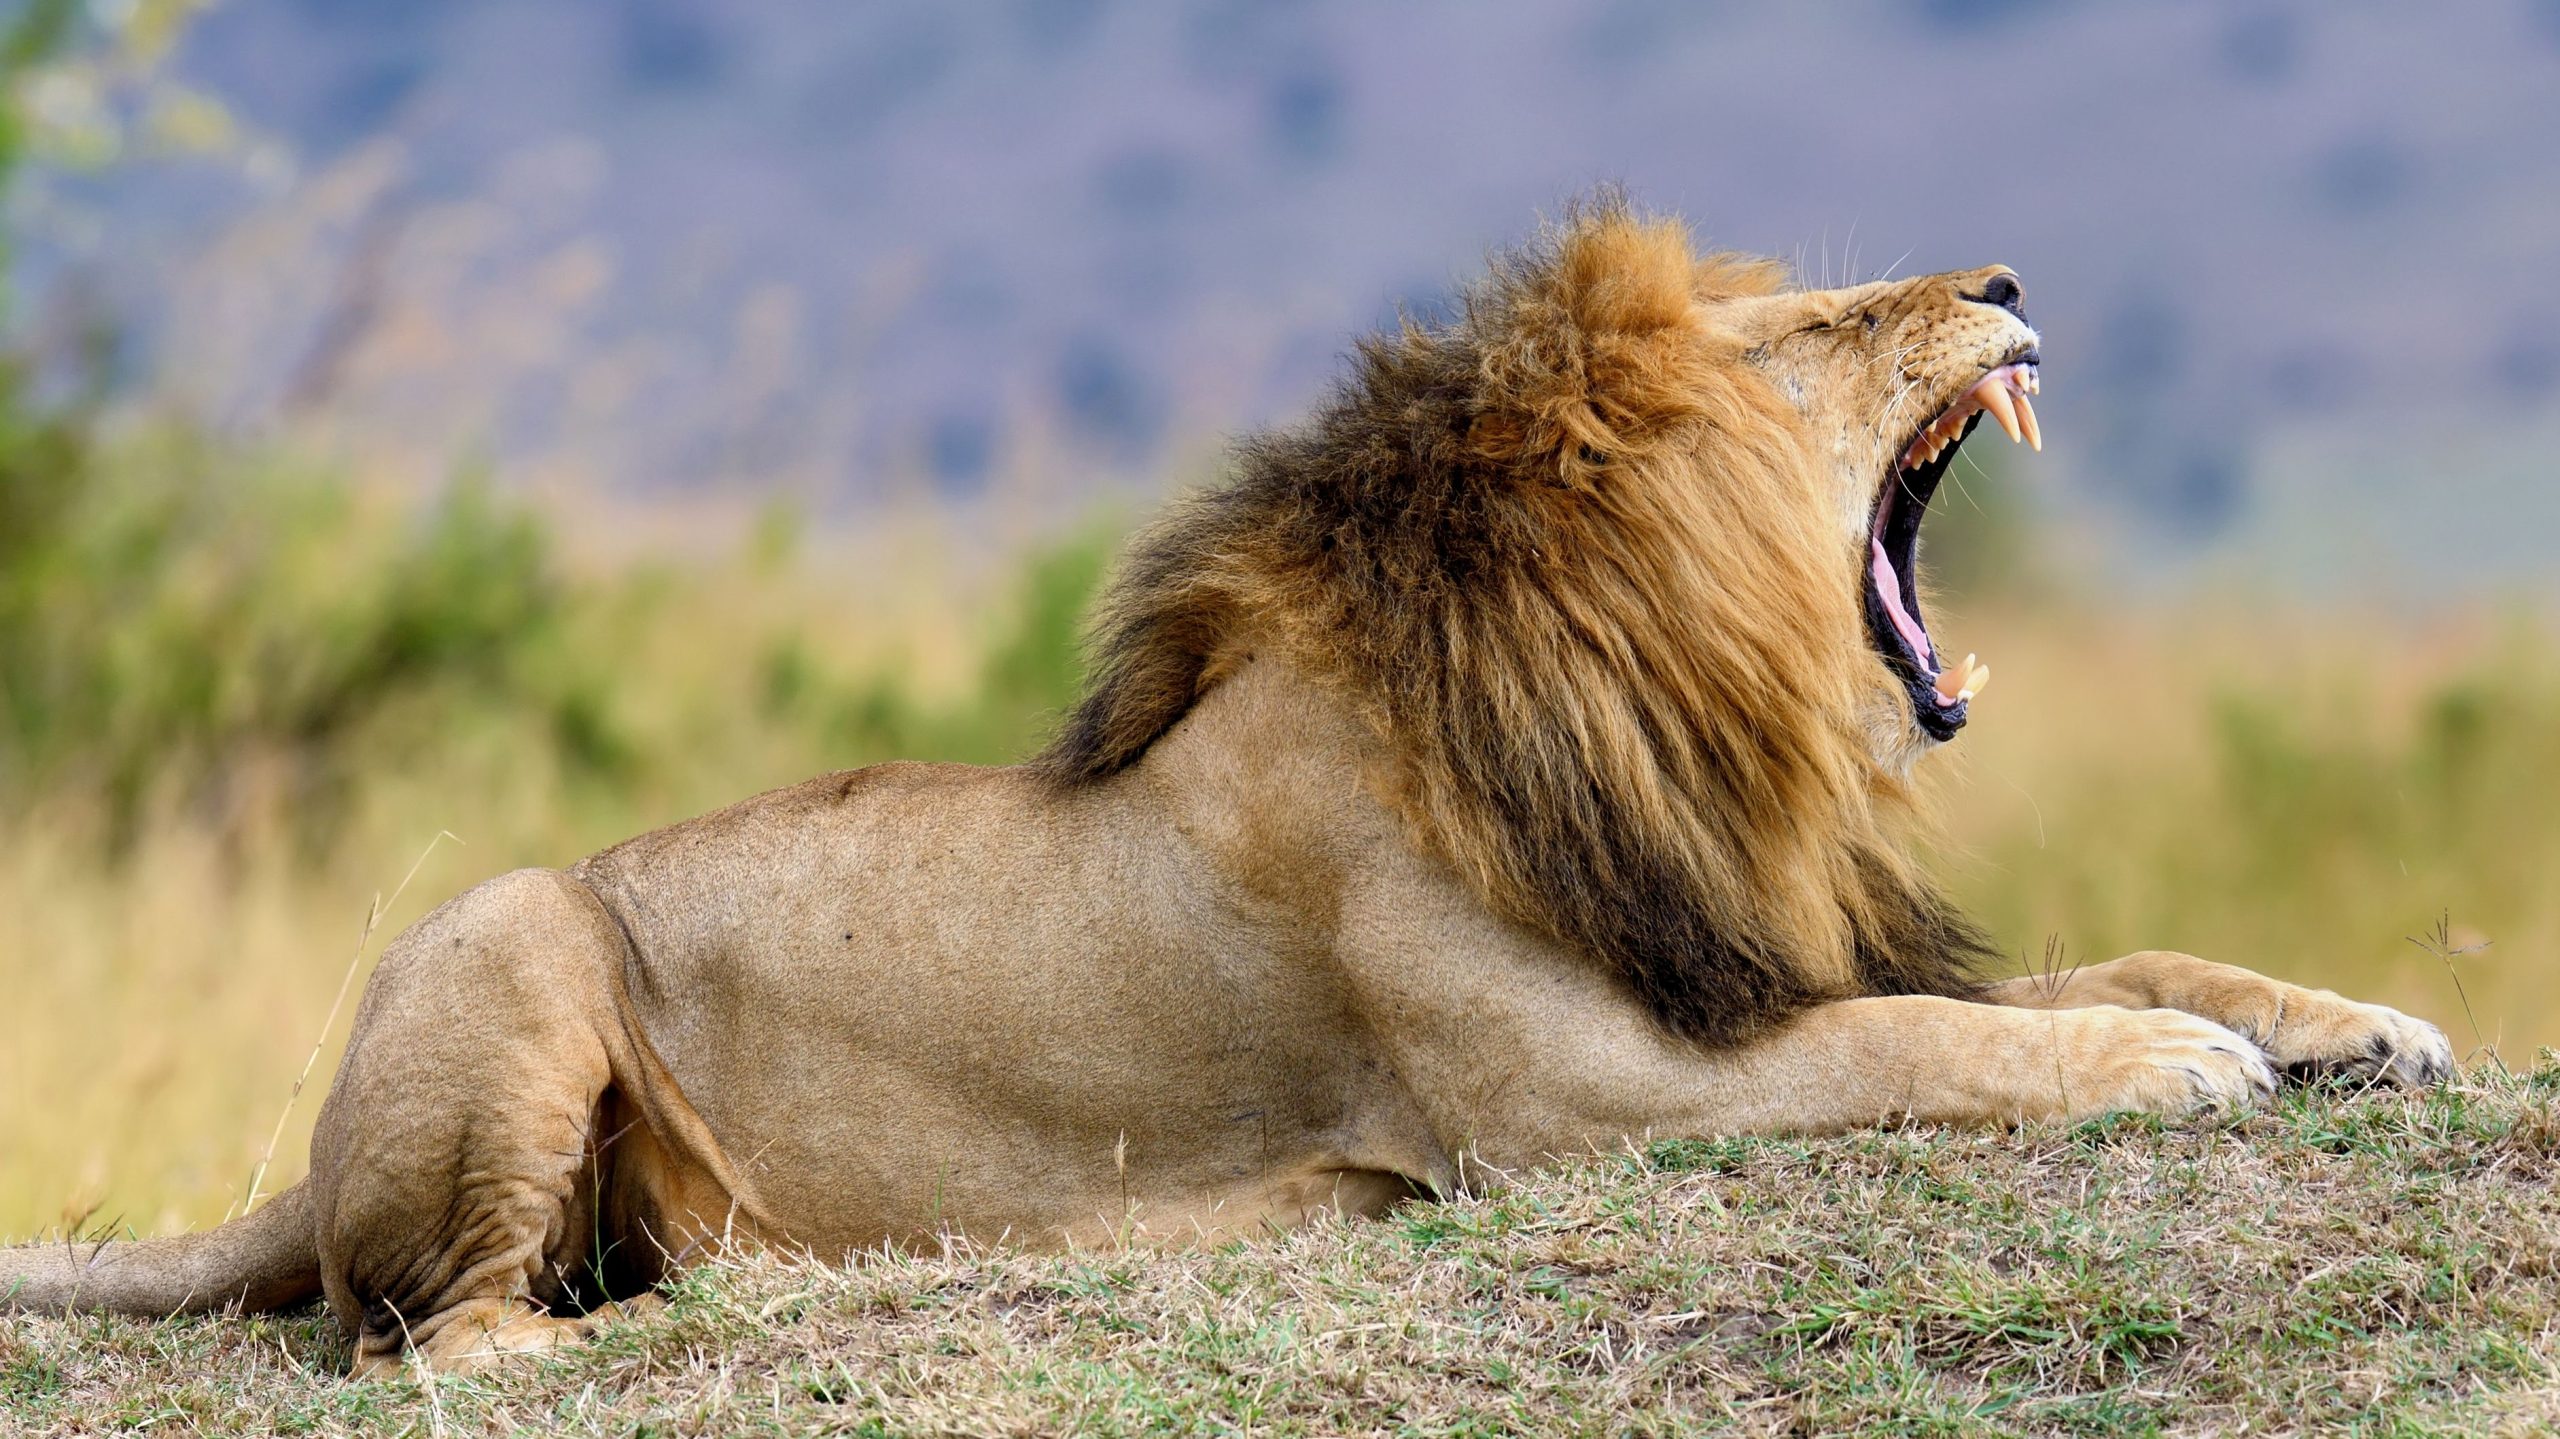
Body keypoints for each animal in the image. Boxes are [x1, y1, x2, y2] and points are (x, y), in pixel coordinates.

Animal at [1, 203, 2450, 1375]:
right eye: (1827, 330)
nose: (2012, 274)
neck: (1669, 705)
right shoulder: (1584, 1099)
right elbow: (1937, 1041)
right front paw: (2174, 1063)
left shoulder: (1737, 950)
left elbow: (2084, 960)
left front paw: (2344, 1018)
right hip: (510, 918)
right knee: (429, 1332)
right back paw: (726, 1297)